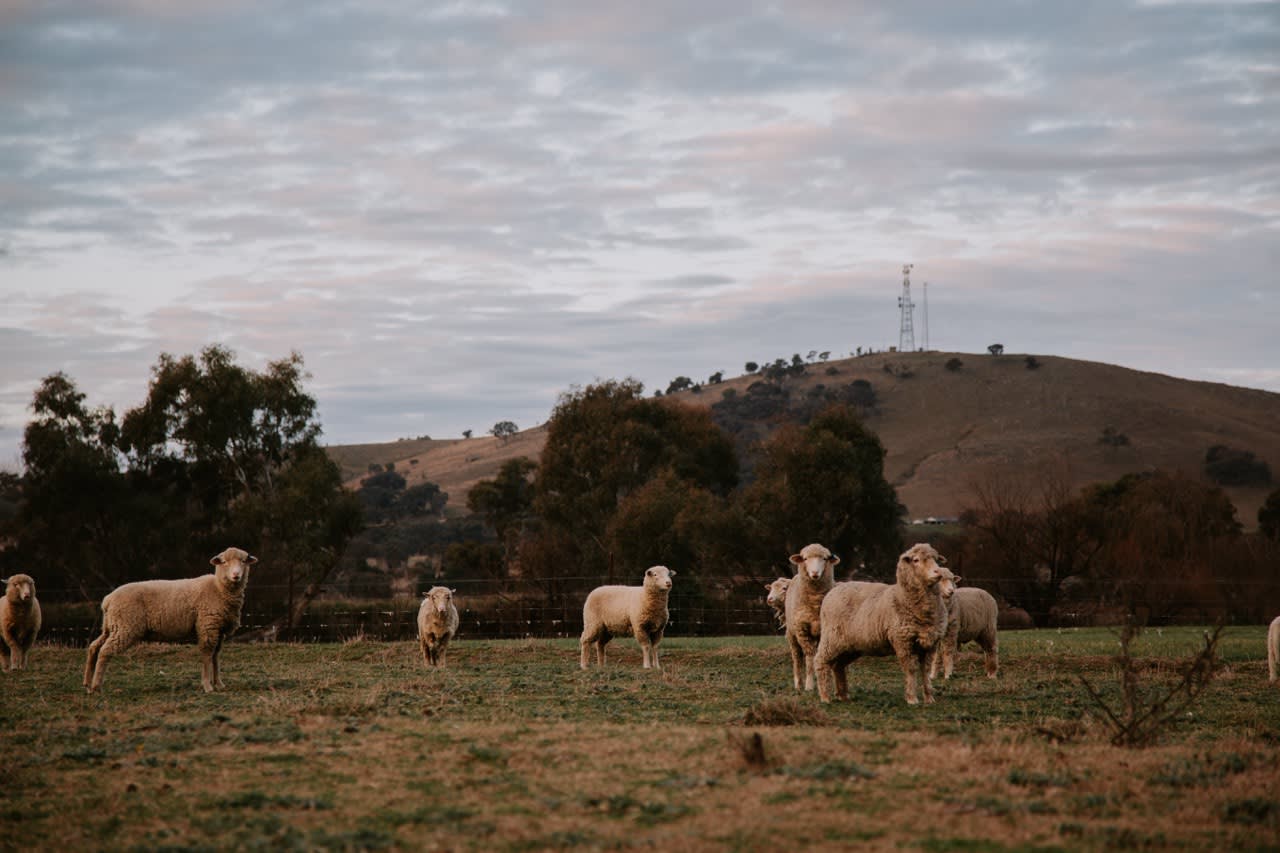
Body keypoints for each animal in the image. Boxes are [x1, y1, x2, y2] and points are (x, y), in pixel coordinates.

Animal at [83, 545, 256, 691]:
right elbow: (207, 655)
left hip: (112, 626)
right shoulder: (208, 626)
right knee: (105, 651)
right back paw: (97, 686)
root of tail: (108, 599)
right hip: (125, 627)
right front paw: (208, 686)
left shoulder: (219, 629)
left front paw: (219, 683)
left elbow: (215, 657)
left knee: (94, 647)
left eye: (243, 561)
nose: (236, 575)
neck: (218, 588)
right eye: (225, 562)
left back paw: (87, 684)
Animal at [778, 540, 839, 686]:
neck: (815, 602)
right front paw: (810, 684)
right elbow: (810, 657)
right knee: (797, 657)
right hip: (792, 634)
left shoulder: (824, 630)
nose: (815, 573)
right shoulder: (802, 630)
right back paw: (798, 683)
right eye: (805, 559)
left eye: (824, 558)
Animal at [808, 540, 952, 701]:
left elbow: (925, 670)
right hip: (831, 638)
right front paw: (912, 698)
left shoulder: (930, 643)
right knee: (820, 661)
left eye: (936, 559)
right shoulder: (903, 641)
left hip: (850, 646)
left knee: (838, 665)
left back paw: (842, 695)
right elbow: (911, 669)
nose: (938, 572)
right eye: (916, 560)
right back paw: (825, 696)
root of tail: (834, 589)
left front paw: (929, 698)